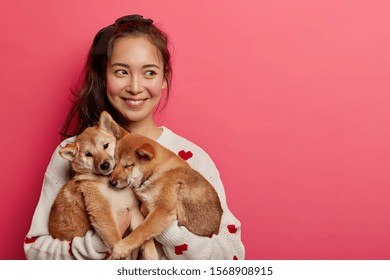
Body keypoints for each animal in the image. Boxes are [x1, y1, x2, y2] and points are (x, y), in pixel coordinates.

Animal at [48, 110, 158, 260]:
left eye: (105, 145)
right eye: (88, 154)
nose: (105, 164)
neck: (107, 182)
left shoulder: (132, 209)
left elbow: (141, 233)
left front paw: (151, 252)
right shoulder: (103, 213)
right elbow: (116, 239)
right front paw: (122, 256)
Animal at [109, 132, 222, 260]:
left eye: (128, 166)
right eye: (114, 164)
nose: (111, 182)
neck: (157, 171)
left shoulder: (162, 210)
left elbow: (141, 229)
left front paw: (122, 247)